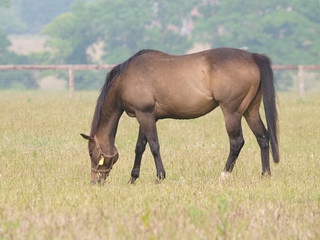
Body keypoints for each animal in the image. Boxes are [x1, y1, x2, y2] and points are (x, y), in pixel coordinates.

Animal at [81, 48, 278, 184]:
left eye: (91, 153)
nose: (95, 182)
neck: (125, 79)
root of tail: (252, 56)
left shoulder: (145, 115)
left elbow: (154, 147)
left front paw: (159, 177)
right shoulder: (144, 117)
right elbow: (140, 147)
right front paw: (133, 178)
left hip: (232, 112)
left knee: (237, 142)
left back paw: (223, 175)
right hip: (250, 111)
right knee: (262, 137)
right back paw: (265, 175)